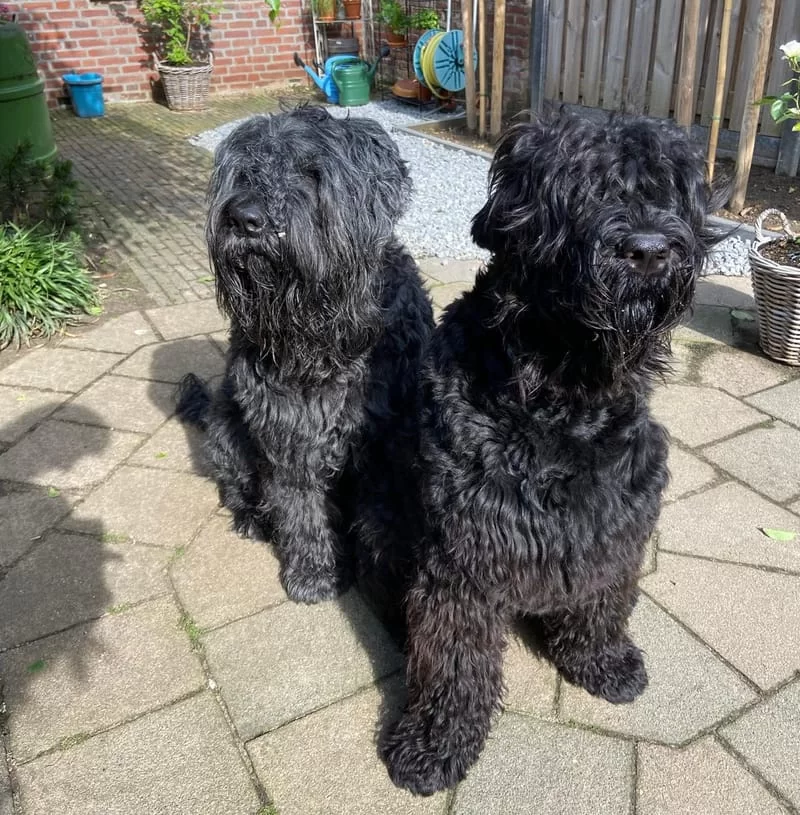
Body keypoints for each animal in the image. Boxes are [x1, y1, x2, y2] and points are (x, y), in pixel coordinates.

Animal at [177, 106, 433, 604]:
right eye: (244, 172)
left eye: (311, 172)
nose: (245, 217)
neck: (325, 335)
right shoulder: (285, 432)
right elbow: (299, 508)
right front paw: (314, 572)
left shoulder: (385, 444)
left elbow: (382, 518)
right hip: (226, 431)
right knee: (237, 486)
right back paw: (253, 518)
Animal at [372, 111, 726, 794]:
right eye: (581, 187)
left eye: (667, 190)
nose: (648, 249)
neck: (562, 390)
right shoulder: (462, 554)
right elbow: (454, 658)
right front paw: (436, 743)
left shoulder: (615, 522)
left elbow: (603, 598)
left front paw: (601, 661)